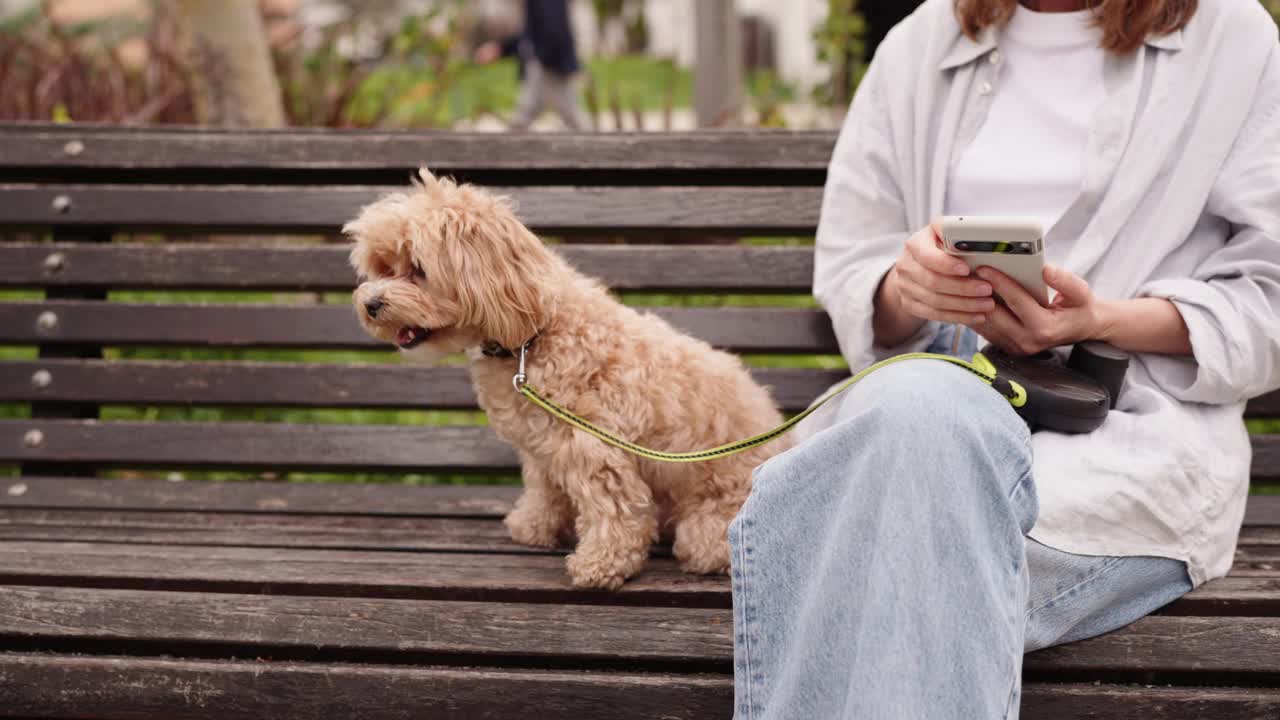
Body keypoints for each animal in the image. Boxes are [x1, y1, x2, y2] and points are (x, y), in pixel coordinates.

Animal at [345, 169, 793, 589]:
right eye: (382, 267)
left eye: (418, 270)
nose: (370, 305)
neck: (535, 333)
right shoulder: (542, 446)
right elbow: (544, 490)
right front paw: (533, 527)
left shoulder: (594, 447)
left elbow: (613, 509)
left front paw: (601, 565)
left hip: (710, 513)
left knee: (700, 543)